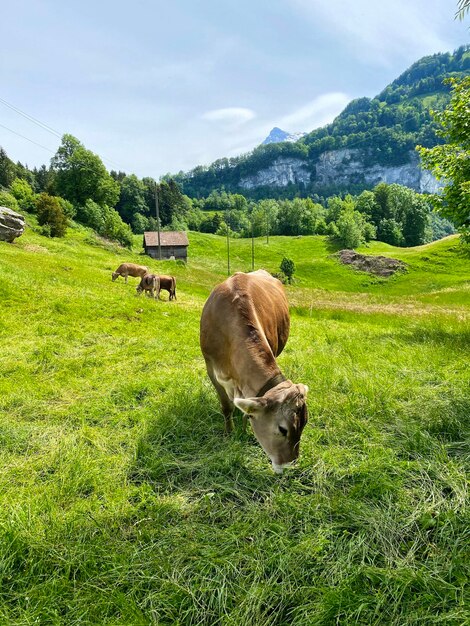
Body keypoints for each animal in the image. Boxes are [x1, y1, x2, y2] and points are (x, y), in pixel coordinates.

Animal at [201, 268, 308, 472]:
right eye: (283, 429)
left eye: (304, 423)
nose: (290, 464)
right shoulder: (211, 367)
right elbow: (226, 406)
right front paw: (229, 433)